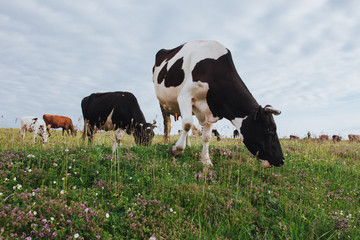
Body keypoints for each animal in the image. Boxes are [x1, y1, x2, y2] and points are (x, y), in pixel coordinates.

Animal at [153, 40, 286, 168]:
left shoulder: (213, 110)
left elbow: (206, 137)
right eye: (269, 130)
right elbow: (187, 124)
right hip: (162, 103)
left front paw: (206, 161)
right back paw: (167, 141)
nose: (282, 160)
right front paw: (176, 149)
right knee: (167, 124)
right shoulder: (185, 96)